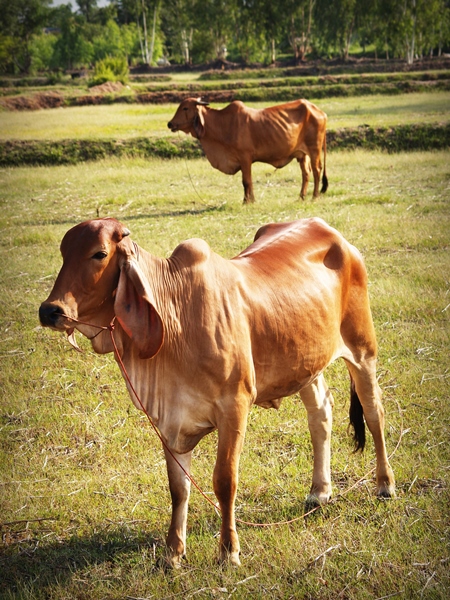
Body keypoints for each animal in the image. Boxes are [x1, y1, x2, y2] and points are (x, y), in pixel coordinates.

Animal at [40, 217, 396, 568]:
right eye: (62, 252)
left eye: (99, 254)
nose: (50, 311)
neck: (177, 315)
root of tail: (328, 229)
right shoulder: (168, 418)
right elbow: (178, 487)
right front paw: (173, 552)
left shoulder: (235, 406)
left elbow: (225, 482)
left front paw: (228, 550)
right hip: (306, 363)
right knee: (321, 414)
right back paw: (320, 491)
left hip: (363, 349)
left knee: (374, 412)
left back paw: (385, 484)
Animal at [167, 96, 328, 204]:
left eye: (185, 108)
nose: (170, 124)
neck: (222, 124)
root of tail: (320, 111)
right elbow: (247, 182)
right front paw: (250, 200)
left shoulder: (245, 158)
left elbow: (246, 181)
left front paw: (247, 201)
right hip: (302, 155)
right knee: (306, 173)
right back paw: (301, 197)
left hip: (314, 149)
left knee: (316, 170)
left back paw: (315, 197)